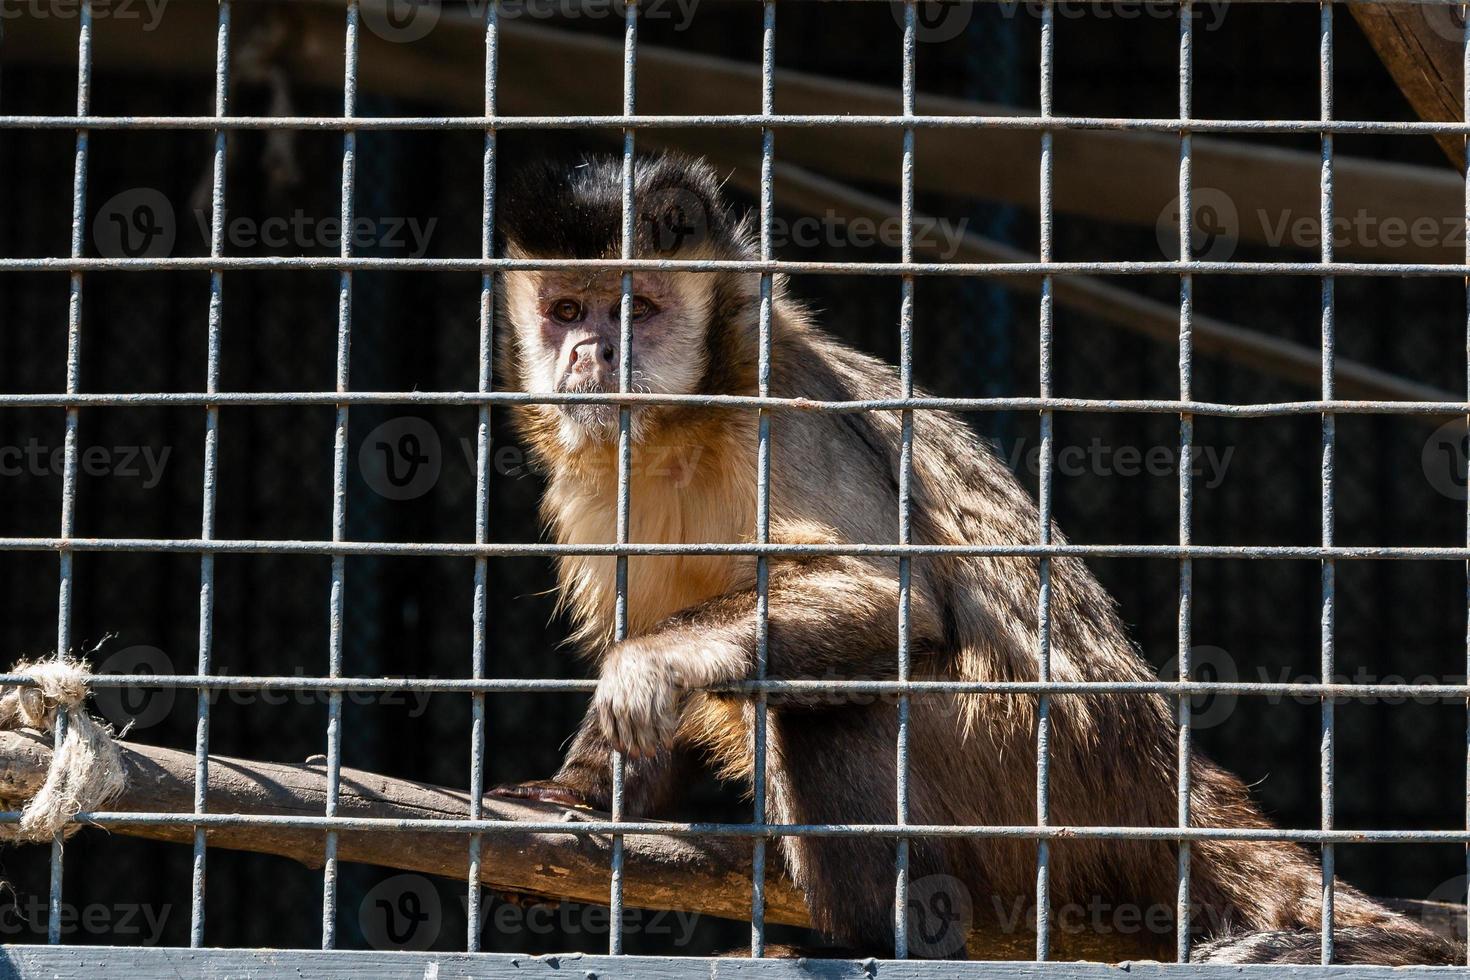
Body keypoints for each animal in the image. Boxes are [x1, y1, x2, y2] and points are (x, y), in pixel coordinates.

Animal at [490, 153, 1458, 963]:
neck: (678, 424)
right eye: (567, 311)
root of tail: (1160, 771)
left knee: (845, 705)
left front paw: (651, 665)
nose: (590, 350)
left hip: (1039, 773)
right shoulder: (590, 483)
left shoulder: (775, 407)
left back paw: (884, 940)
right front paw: (581, 792)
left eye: (636, 310)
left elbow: (897, 599)